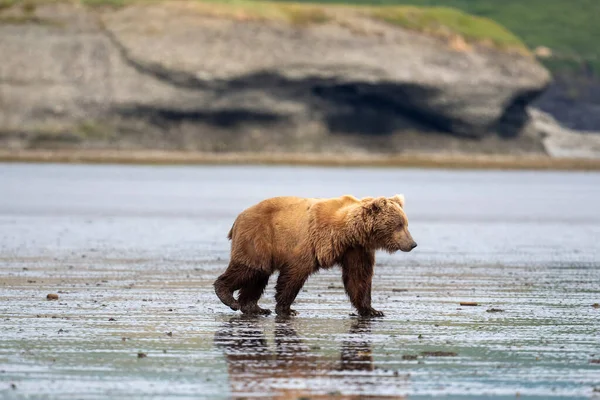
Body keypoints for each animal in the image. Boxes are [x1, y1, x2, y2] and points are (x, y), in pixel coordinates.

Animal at [213, 195, 414, 318]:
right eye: (399, 225)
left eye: (406, 223)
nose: (412, 244)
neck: (347, 232)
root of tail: (238, 217)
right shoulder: (312, 241)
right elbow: (295, 273)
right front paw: (287, 309)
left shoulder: (356, 249)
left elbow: (358, 278)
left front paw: (373, 310)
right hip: (258, 235)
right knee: (250, 268)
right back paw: (227, 296)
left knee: (259, 274)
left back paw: (255, 307)